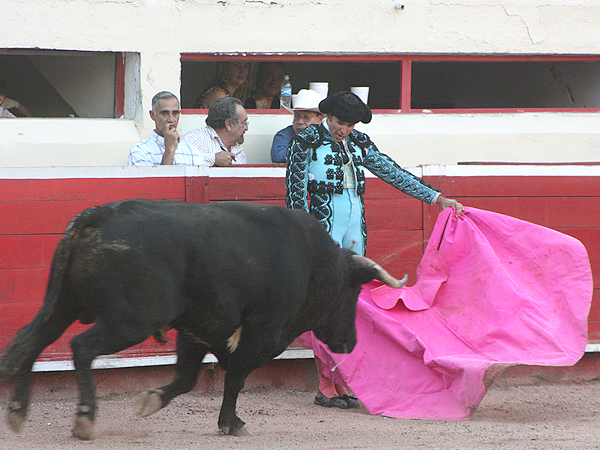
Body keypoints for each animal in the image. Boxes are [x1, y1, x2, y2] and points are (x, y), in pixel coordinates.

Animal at [0, 200, 408, 440]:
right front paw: (232, 423)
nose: (350, 342)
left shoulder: (195, 330)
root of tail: (97, 215)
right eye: (353, 293)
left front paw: (150, 400)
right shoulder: (262, 335)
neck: (311, 262)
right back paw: (84, 418)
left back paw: (18, 411)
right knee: (81, 347)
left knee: (31, 341)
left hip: (63, 305)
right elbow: (236, 377)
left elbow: (186, 378)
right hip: (129, 321)